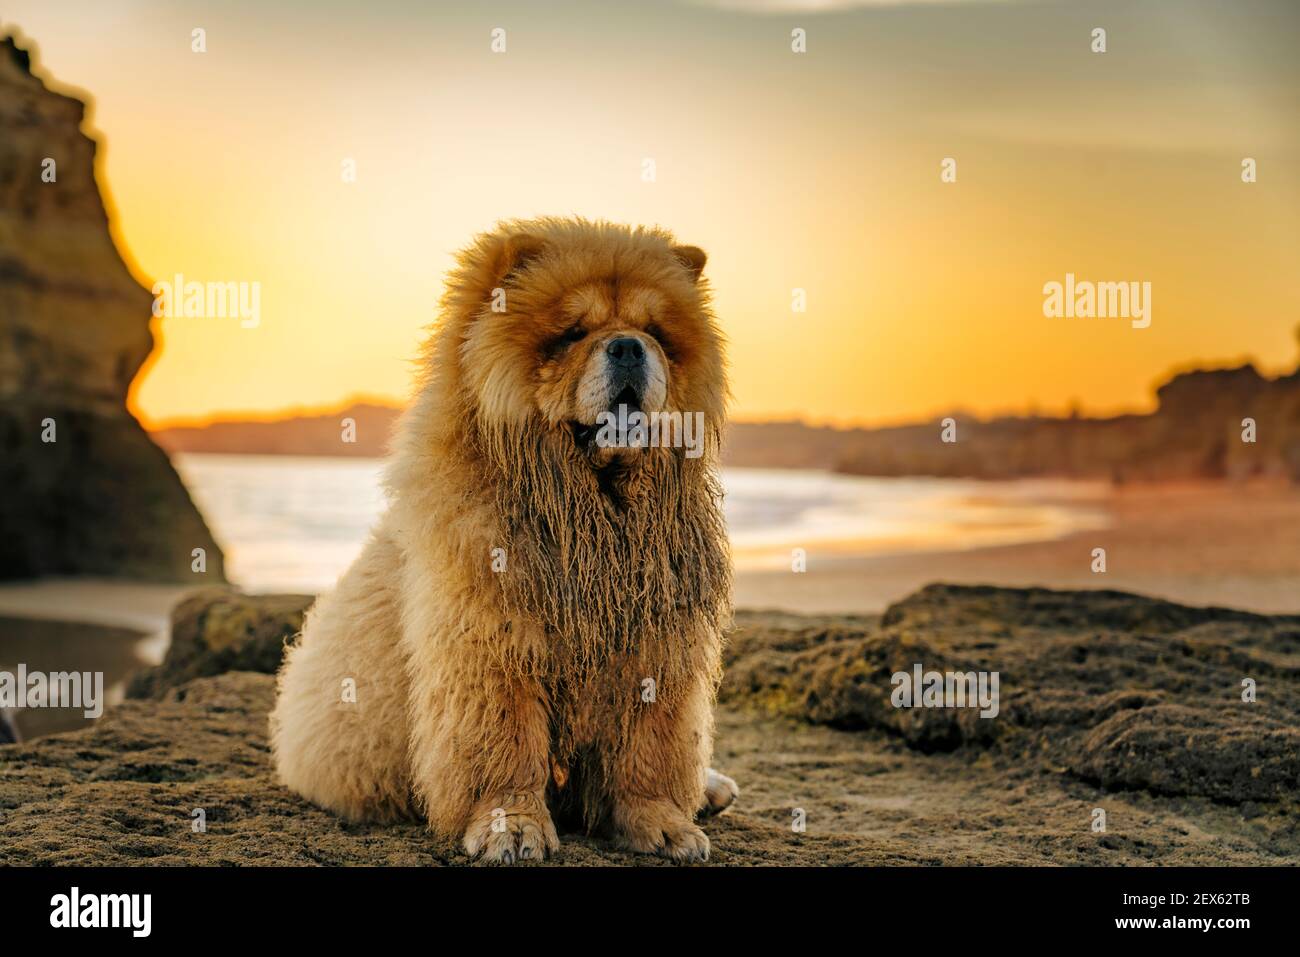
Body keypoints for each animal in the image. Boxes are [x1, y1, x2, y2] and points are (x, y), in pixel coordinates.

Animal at [269, 221, 738, 863]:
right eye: (572, 334)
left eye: (655, 334)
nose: (627, 347)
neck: (594, 512)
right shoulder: (492, 642)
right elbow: (504, 744)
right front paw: (511, 825)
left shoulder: (656, 646)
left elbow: (650, 748)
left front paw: (661, 823)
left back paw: (710, 789)